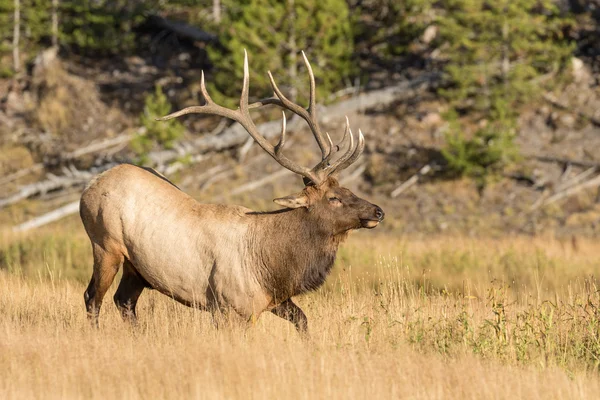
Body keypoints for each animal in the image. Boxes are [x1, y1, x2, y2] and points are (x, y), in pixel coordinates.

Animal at [79, 52, 384, 334]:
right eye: (334, 199)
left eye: (347, 189)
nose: (378, 211)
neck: (273, 266)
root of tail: (91, 184)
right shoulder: (228, 306)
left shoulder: (272, 301)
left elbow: (303, 321)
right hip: (105, 244)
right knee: (93, 297)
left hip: (137, 267)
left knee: (124, 301)